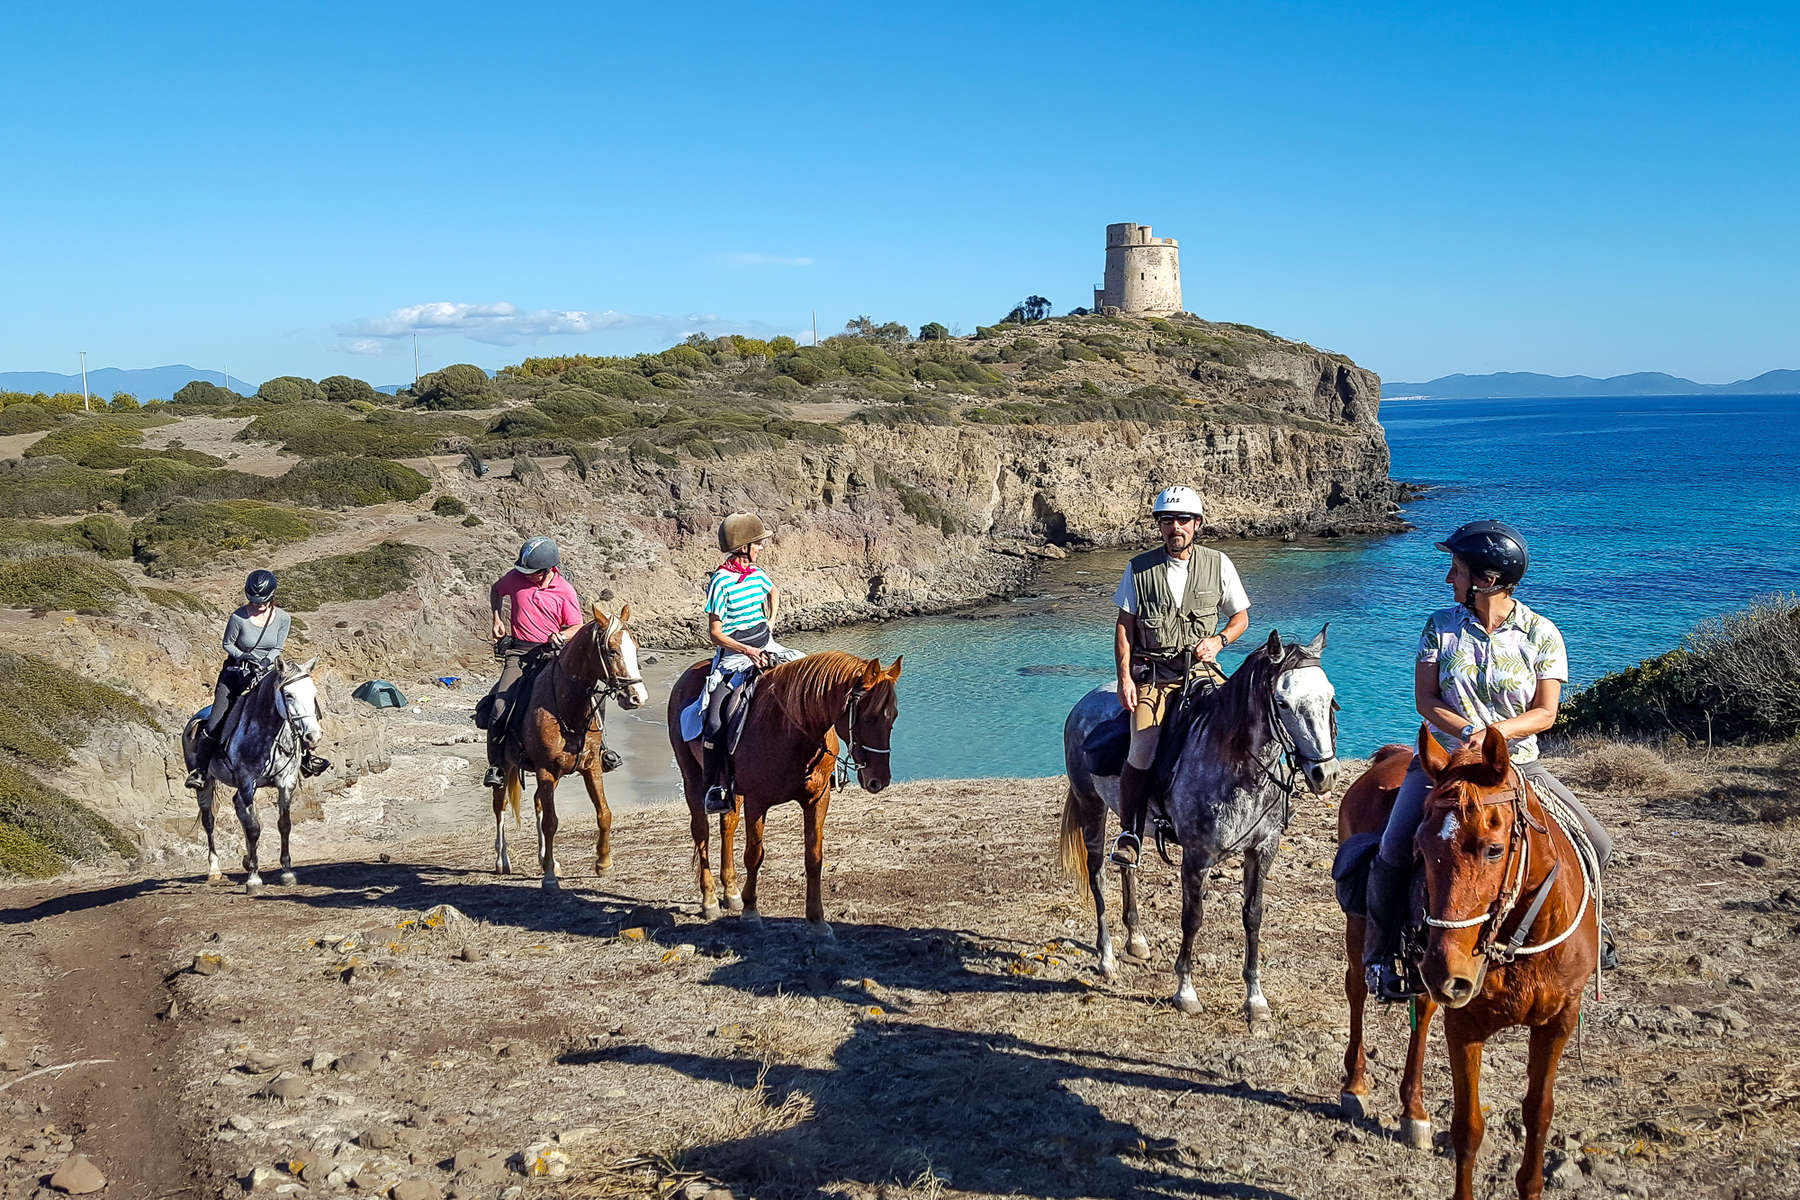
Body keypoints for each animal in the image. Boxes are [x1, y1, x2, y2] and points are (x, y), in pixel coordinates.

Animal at [183, 658, 327, 892]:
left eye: (313, 692)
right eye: (288, 695)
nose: (313, 736)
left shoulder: (286, 783)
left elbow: (283, 825)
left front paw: (287, 872)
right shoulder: (246, 782)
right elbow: (253, 828)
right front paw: (254, 879)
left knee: (240, 810)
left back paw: (247, 859)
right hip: (206, 785)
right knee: (209, 821)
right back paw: (214, 869)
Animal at [493, 604, 648, 888]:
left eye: (636, 647)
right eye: (612, 650)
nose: (637, 698)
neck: (566, 706)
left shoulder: (591, 766)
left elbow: (604, 813)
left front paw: (603, 863)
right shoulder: (545, 769)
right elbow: (551, 823)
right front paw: (549, 878)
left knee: (537, 802)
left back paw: (546, 859)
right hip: (506, 768)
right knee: (500, 807)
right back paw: (502, 860)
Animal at [666, 651, 900, 935]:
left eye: (893, 717)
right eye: (869, 718)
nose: (879, 780)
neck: (793, 728)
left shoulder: (817, 799)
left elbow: (814, 857)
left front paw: (817, 920)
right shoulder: (757, 802)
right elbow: (754, 856)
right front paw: (751, 912)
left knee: (727, 826)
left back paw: (731, 891)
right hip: (692, 778)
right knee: (701, 832)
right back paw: (709, 898)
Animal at [1051, 629, 1339, 1021]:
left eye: (1330, 697)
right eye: (1282, 702)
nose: (1325, 774)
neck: (1238, 766)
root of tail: (1084, 704)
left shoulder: (1262, 851)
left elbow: (1253, 916)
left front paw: (1255, 998)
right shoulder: (1197, 858)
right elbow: (1192, 918)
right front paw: (1185, 992)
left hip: (1129, 817)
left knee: (1128, 865)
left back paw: (1136, 940)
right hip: (1091, 807)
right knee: (1098, 876)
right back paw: (1107, 958)